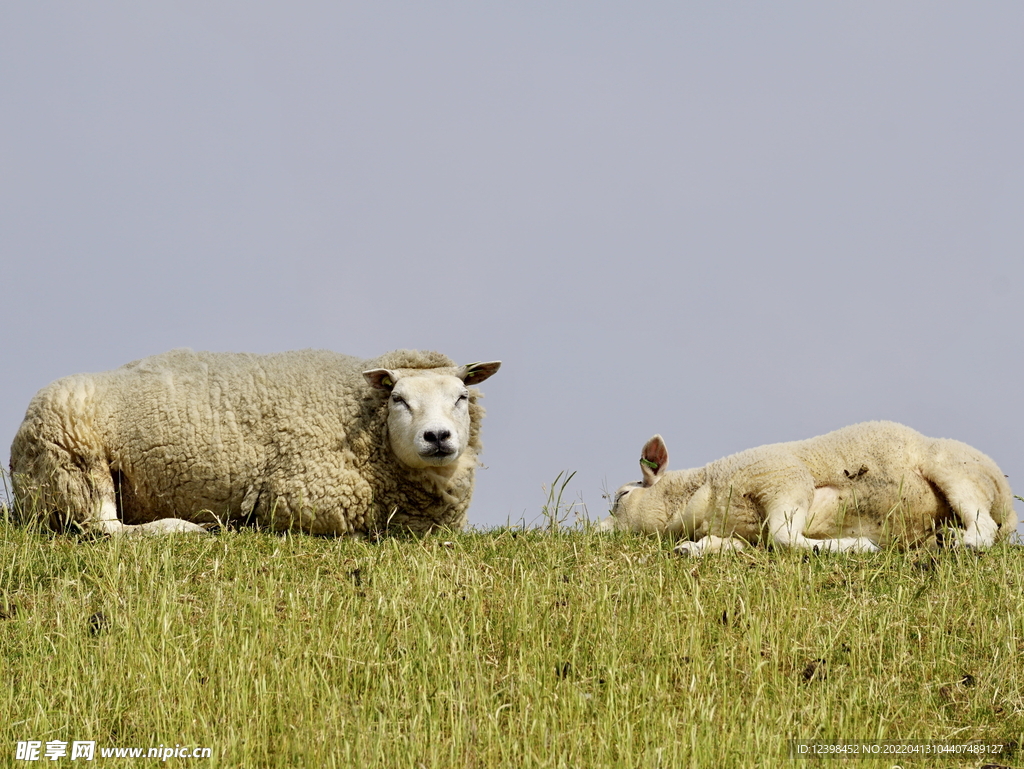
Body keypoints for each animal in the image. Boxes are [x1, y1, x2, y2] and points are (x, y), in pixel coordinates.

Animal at [7, 348, 503, 536]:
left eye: (461, 397)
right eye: (399, 399)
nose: (437, 437)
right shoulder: (302, 499)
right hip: (76, 463)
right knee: (104, 527)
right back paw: (186, 529)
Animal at [598, 423, 1015, 557]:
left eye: (622, 496)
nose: (598, 531)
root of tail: (1009, 508)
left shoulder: (783, 476)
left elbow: (786, 538)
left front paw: (857, 546)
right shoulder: (747, 534)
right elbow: (732, 545)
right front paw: (693, 550)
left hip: (954, 469)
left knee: (984, 527)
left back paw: (962, 542)